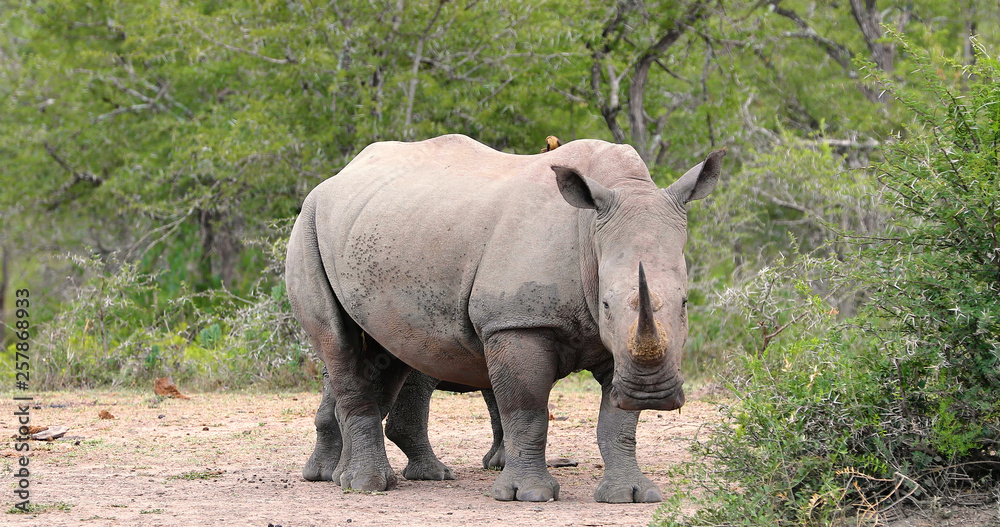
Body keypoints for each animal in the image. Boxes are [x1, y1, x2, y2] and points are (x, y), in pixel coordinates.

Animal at [286, 134, 723, 502]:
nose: (651, 394)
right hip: (308, 224)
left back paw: (344, 478)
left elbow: (619, 421)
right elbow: (526, 410)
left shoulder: (617, 345)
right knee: (338, 345)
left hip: (383, 234)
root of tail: (334, 178)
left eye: (685, 302)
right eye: (606, 305)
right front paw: (528, 496)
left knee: (389, 351)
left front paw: (629, 496)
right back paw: (366, 485)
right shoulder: (516, 322)